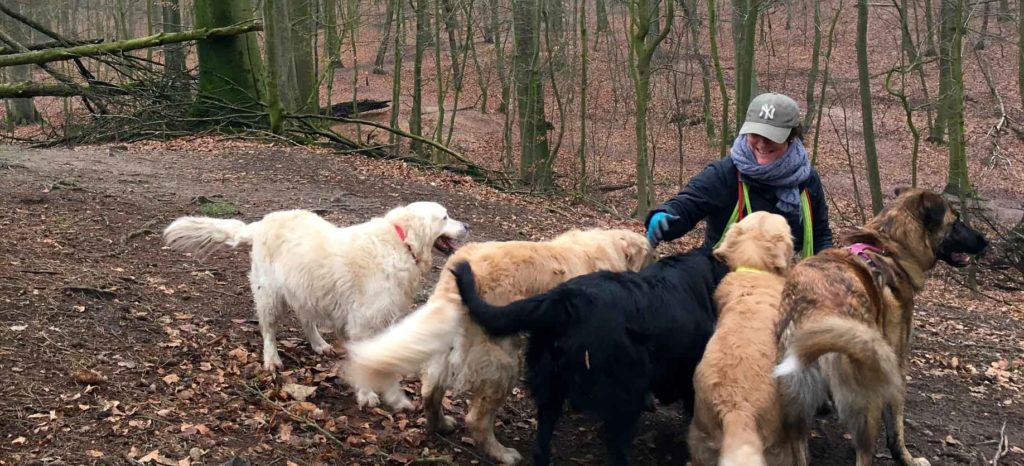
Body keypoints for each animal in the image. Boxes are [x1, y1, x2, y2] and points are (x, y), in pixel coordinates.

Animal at [163, 202, 468, 407]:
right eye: (445, 217)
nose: (467, 226)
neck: (401, 243)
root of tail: (261, 223)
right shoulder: (363, 324)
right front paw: (368, 395)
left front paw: (394, 397)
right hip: (270, 294)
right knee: (269, 331)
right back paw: (272, 359)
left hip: (306, 289)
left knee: (306, 320)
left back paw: (319, 344)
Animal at [344, 229, 647, 462]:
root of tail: (456, 277)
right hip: (503, 361)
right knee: (476, 419)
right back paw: (501, 453)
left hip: (447, 351)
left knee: (430, 391)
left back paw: (441, 425)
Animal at [774, 189, 983, 466]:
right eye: (956, 221)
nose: (985, 241)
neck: (890, 248)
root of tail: (816, 315)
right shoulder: (897, 365)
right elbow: (896, 430)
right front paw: (908, 459)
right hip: (868, 400)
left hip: (796, 414)